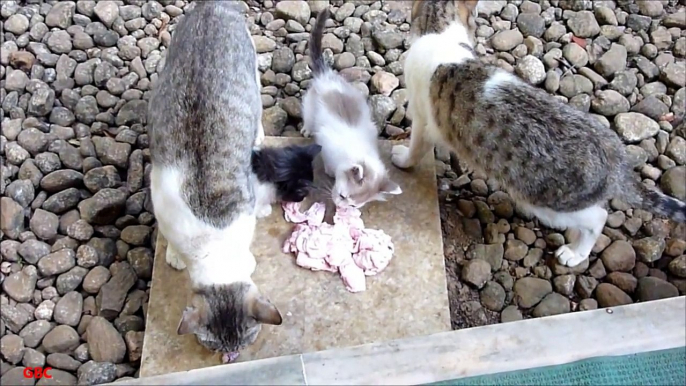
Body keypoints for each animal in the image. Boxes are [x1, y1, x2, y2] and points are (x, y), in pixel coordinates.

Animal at [148, 1, 282, 358]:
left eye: (246, 339)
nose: (230, 355)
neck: (212, 240)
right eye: (211, 343)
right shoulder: (160, 198)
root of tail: (212, 6)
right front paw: (173, 254)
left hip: (252, 75)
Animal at [302, 8, 404, 208]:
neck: (356, 151)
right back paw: (306, 129)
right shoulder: (326, 142)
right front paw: (330, 170)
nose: (340, 206)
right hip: (310, 107)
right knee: (308, 119)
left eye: (353, 205)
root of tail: (327, 76)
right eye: (342, 196)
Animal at [396, 0, 686, 268]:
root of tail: (616, 159)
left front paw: (402, 159)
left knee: (597, 218)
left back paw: (575, 253)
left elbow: (416, 147)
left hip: (546, 202)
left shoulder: (421, 119)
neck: (440, 34)